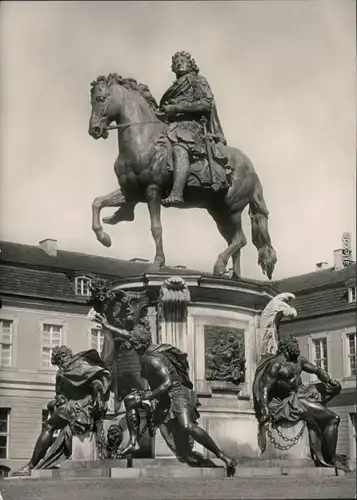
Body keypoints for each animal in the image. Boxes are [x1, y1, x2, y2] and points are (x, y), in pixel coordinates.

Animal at [87, 73, 276, 280]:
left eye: (101, 99)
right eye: (92, 100)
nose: (94, 130)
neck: (143, 139)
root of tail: (251, 168)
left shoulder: (152, 190)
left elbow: (156, 228)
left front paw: (158, 263)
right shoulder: (130, 191)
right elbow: (97, 202)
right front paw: (104, 238)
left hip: (231, 207)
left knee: (240, 239)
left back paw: (220, 265)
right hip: (218, 211)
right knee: (234, 241)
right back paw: (233, 277)